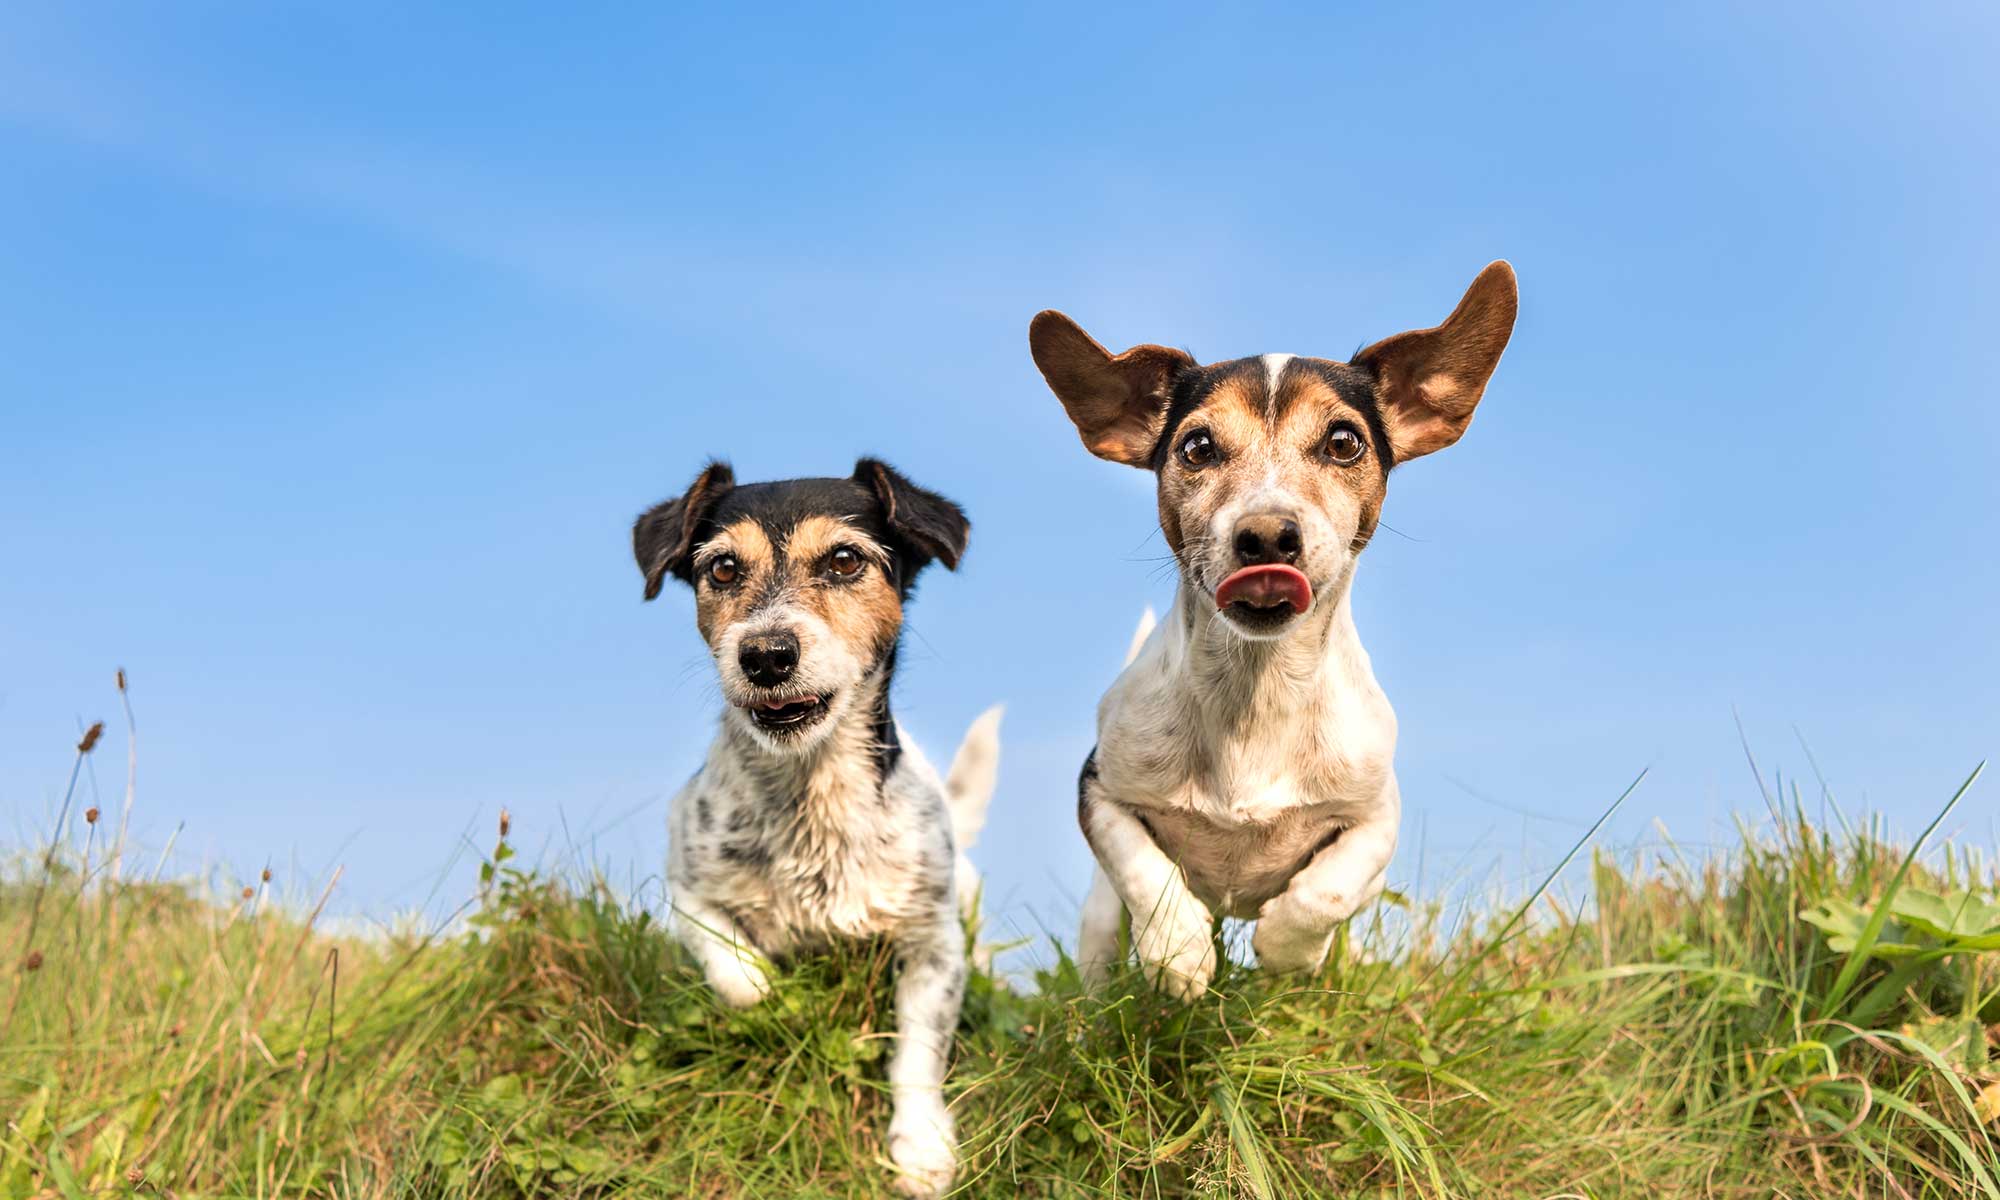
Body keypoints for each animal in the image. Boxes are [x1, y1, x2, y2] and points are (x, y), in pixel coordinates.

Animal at [632, 458, 1000, 1192]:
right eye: (722, 569)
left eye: (844, 560)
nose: (766, 654)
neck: (812, 792)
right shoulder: (683, 886)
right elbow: (736, 971)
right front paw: (767, 986)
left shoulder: (935, 944)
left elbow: (918, 1052)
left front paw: (920, 1147)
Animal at [1032, 262, 1512, 1004]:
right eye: (1197, 446)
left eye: (1343, 442)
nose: (1264, 535)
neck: (1257, 691)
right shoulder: (1100, 791)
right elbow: (1143, 868)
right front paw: (1177, 952)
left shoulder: (1376, 815)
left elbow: (1326, 892)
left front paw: (1287, 950)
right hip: (1098, 917)